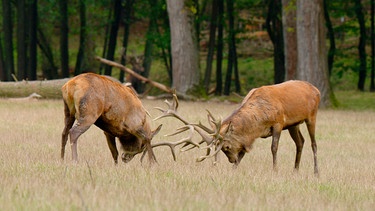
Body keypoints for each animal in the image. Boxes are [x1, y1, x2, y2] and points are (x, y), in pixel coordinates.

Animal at [154, 81, 322, 175]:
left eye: (226, 147)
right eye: (222, 149)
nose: (231, 161)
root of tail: (316, 89)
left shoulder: (278, 123)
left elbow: (274, 148)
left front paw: (275, 170)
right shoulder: (248, 138)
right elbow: (243, 152)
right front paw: (234, 170)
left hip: (312, 116)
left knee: (313, 143)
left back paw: (316, 172)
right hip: (294, 124)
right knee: (300, 142)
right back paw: (295, 170)